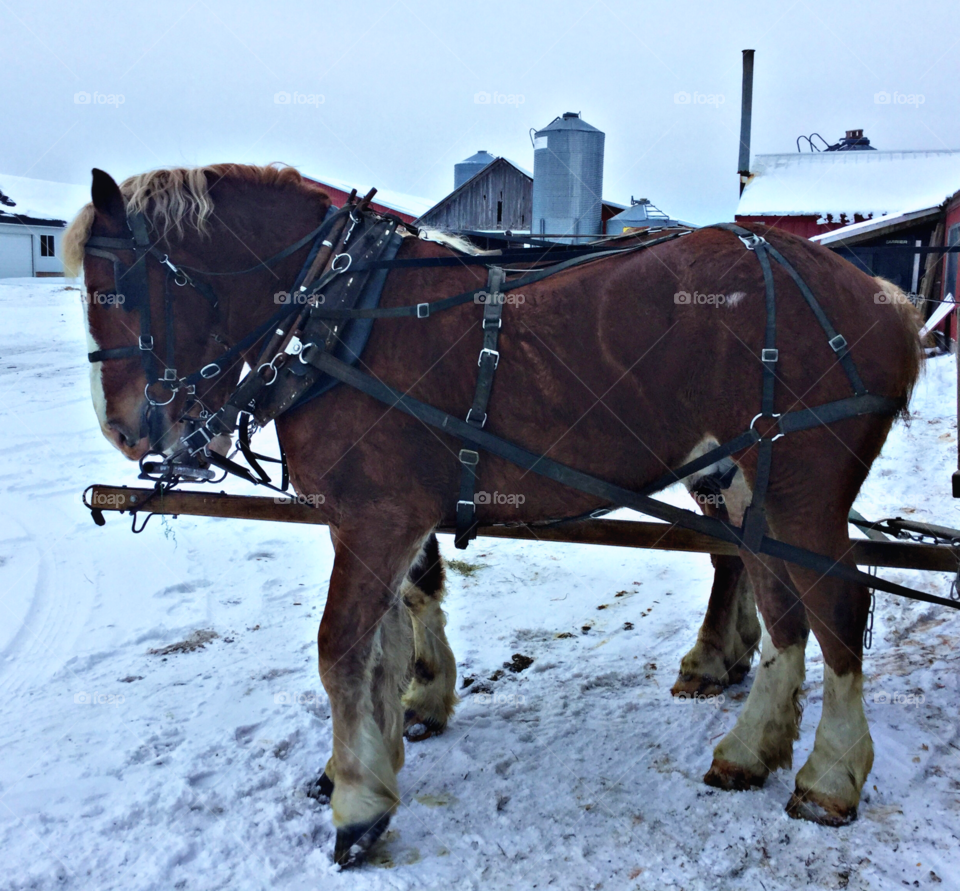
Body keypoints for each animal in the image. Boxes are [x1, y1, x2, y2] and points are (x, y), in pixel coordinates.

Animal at [67, 166, 924, 864]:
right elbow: (390, 635)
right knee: (780, 601)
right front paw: (389, 740)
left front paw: (357, 805)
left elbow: (343, 648)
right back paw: (750, 744)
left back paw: (829, 774)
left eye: (127, 289)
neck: (343, 312)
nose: (125, 429)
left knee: (836, 603)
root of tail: (889, 299)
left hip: (799, 491)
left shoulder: (377, 514)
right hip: (749, 482)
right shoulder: (384, 518)